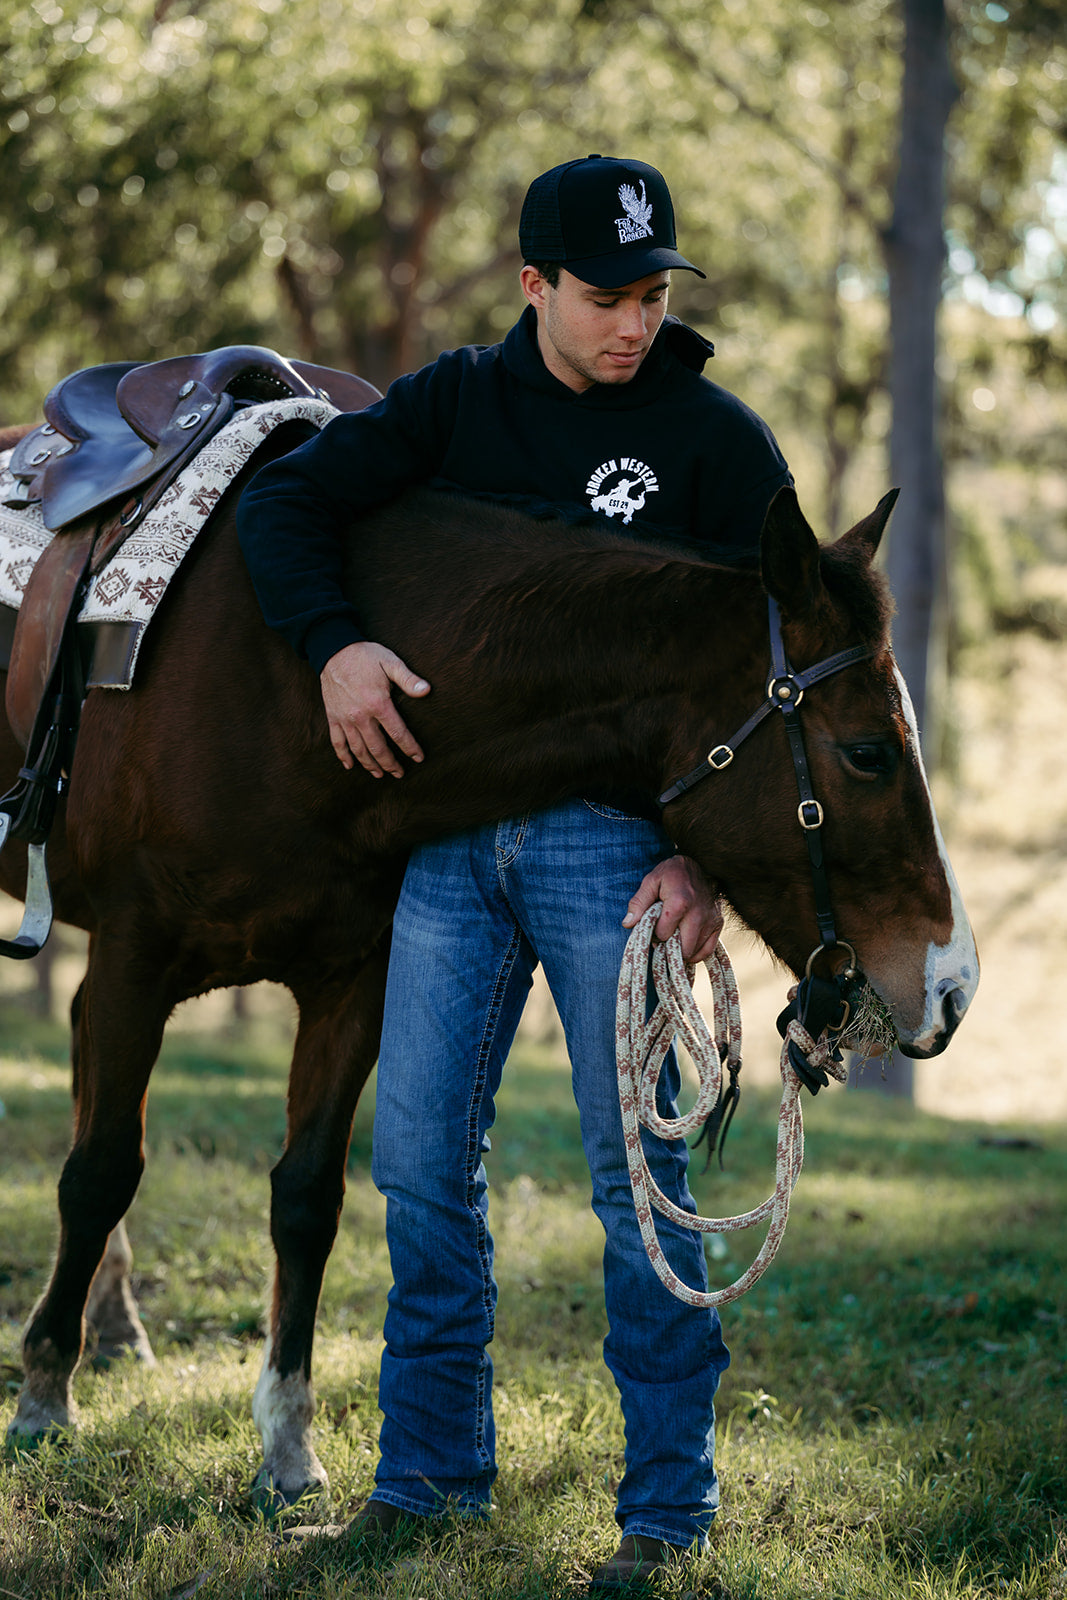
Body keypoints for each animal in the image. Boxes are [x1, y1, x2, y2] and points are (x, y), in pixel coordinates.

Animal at [0, 457, 979, 1504]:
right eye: (868, 752)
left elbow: (305, 1198)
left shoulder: (352, 984)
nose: (952, 985)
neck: (287, 690)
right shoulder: (134, 957)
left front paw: (287, 1445)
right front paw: (43, 1398)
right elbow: (101, 1171)